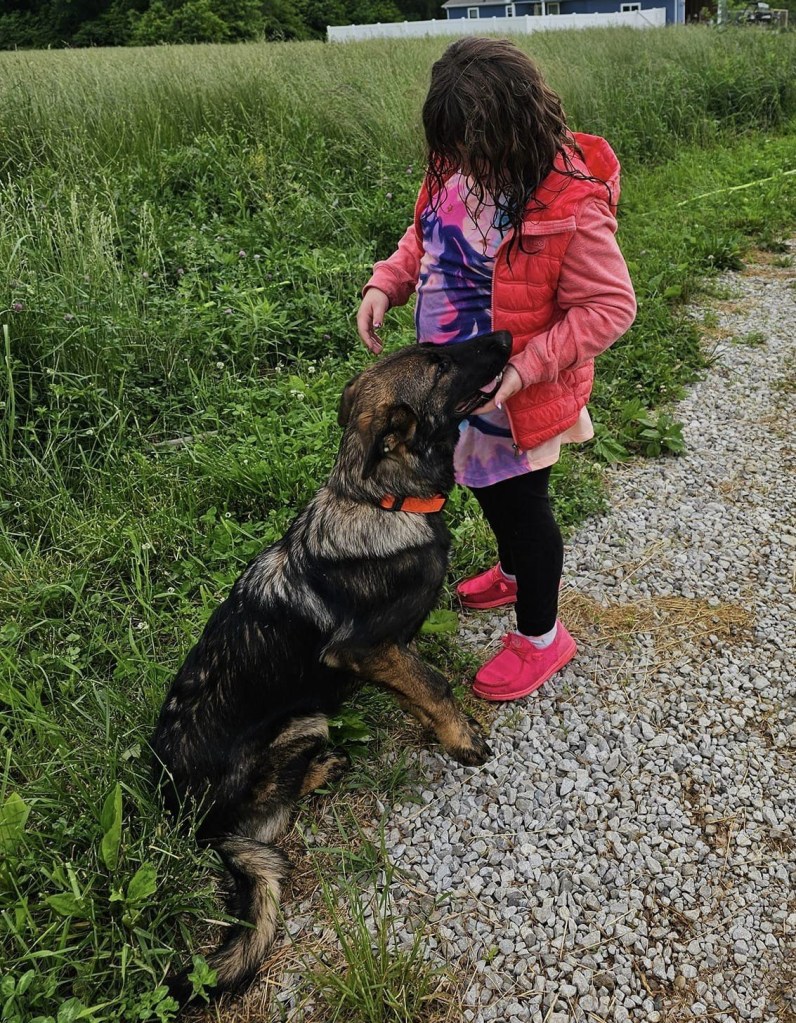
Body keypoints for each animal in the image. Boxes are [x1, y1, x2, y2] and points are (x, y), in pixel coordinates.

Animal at [151, 329, 512, 1005]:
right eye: (440, 363)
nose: (504, 334)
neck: (383, 497)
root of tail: (192, 825)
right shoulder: (363, 649)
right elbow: (435, 685)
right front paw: (463, 740)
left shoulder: (391, 650)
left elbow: (418, 684)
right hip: (305, 723)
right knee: (275, 812)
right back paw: (323, 768)